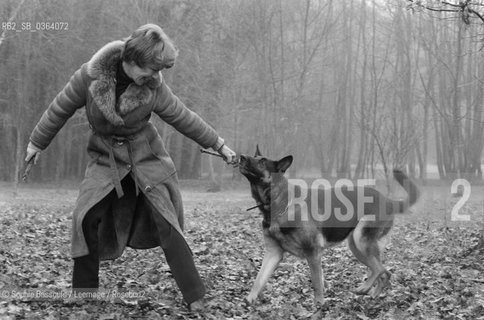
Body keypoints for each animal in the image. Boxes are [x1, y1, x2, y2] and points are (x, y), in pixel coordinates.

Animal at [239, 146, 420, 304]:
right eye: (254, 157)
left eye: (262, 161)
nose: (241, 157)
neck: (280, 204)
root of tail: (388, 200)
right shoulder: (273, 253)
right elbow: (259, 279)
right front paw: (249, 300)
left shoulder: (313, 252)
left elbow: (317, 282)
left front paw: (319, 304)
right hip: (357, 248)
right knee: (384, 272)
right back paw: (373, 295)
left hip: (361, 240)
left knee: (379, 269)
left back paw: (364, 288)